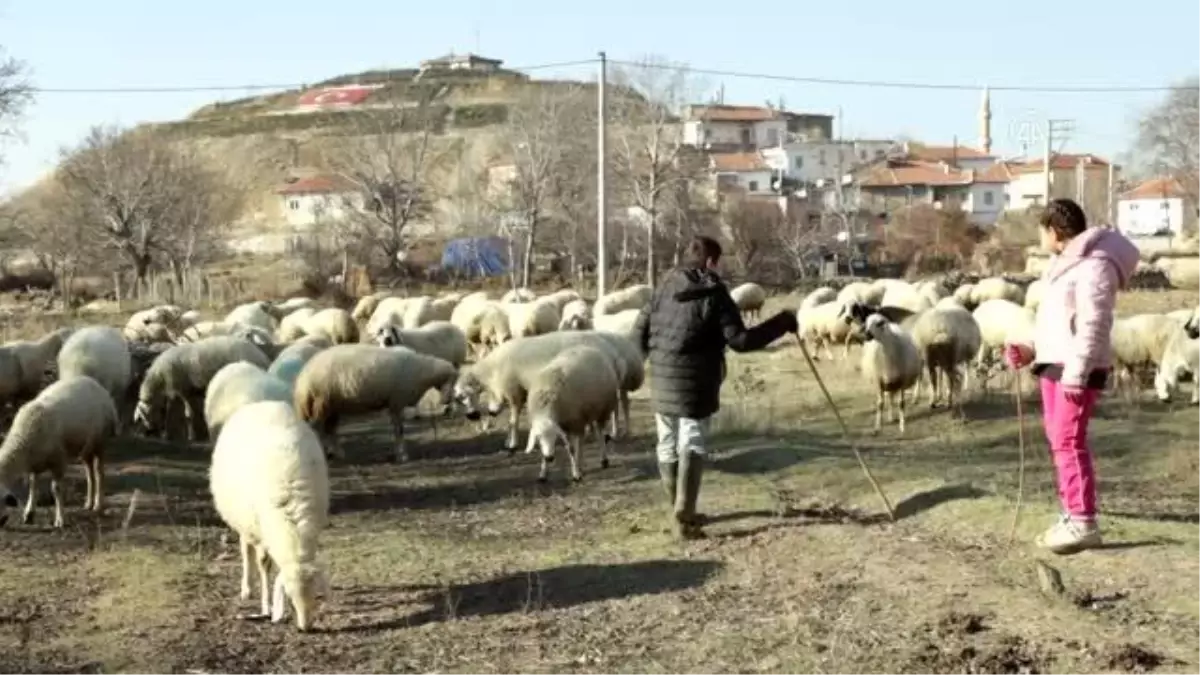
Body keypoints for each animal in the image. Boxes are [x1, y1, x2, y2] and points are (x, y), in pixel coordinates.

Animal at [0, 372, 119, 526]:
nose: (2, 521)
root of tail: (99, 386)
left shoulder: (59, 460)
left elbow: (56, 489)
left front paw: (60, 519)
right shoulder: (35, 464)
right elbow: (33, 487)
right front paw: (29, 513)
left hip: (100, 442)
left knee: (99, 473)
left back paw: (98, 505)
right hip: (86, 446)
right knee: (89, 472)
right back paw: (88, 503)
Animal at [134, 331, 272, 439]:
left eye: (144, 415)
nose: (149, 431)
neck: (159, 377)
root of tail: (262, 356)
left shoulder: (182, 389)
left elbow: (186, 414)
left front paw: (189, 436)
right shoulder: (176, 391)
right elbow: (171, 411)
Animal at [207, 396, 328, 629]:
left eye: (315, 595)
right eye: (289, 597)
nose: (305, 627)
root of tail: (262, 403)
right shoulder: (260, 530)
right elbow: (263, 563)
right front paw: (267, 605)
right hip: (244, 520)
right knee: (246, 550)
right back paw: (246, 588)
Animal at [292, 343, 456, 458]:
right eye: (453, 380)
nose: (447, 401)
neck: (422, 371)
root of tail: (303, 377)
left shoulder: (394, 403)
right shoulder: (396, 402)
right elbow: (399, 430)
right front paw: (402, 455)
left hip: (332, 404)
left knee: (329, 428)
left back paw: (337, 452)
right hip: (322, 400)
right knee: (316, 427)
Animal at [523, 343, 619, 480]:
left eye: (555, 436)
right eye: (539, 437)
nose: (550, 458)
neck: (546, 408)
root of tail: (591, 348)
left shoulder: (574, 423)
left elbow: (572, 449)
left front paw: (576, 473)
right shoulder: (566, 425)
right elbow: (564, 448)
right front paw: (543, 473)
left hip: (602, 410)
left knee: (600, 434)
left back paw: (603, 460)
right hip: (586, 413)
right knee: (586, 438)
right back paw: (582, 465)